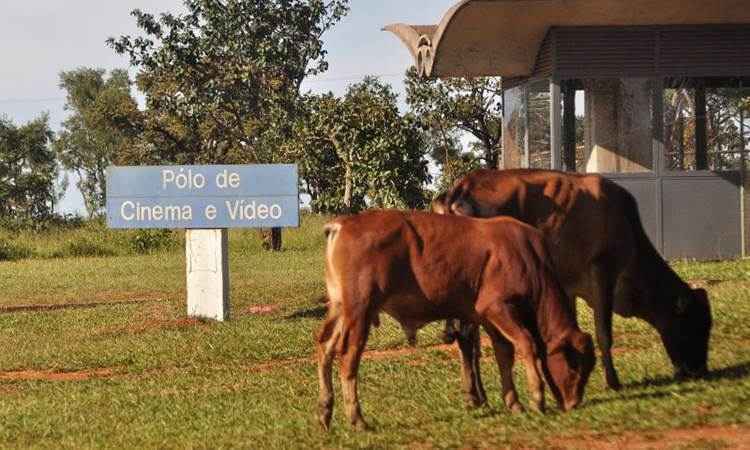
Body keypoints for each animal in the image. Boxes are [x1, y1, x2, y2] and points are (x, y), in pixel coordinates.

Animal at [314, 211, 596, 432]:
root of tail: (344, 223)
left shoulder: (487, 316)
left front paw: (514, 402)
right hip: (359, 310)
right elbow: (527, 343)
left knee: (325, 347)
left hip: (340, 308)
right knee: (348, 357)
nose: (573, 404)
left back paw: (325, 411)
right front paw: (537, 398)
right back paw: (357, 419)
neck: (529, 258)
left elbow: (504, 354)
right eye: (575, 367)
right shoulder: (496, 306)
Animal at [432, 169, 712, 394]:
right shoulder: (603, 271)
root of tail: (461, 187)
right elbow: (603, 333)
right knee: (467, 336)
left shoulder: (568, 286)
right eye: (695, 324)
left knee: (467, 338)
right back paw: (477, 395)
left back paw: (477, 395)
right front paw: (612, 382)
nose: (700, 370)